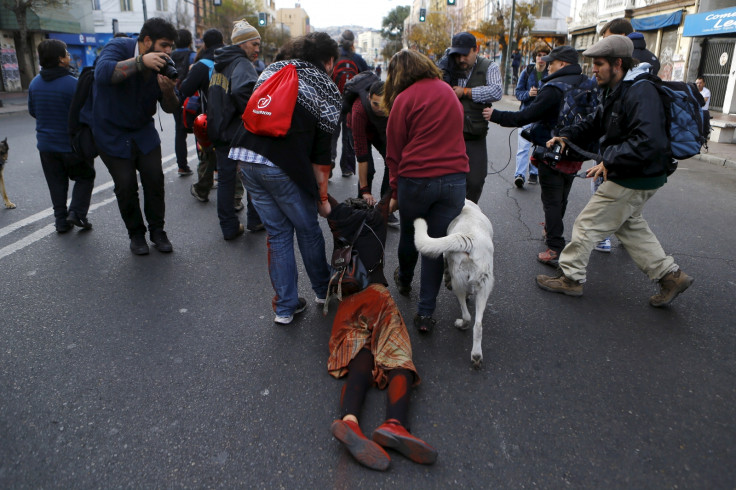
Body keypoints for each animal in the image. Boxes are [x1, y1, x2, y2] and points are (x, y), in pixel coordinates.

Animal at [414, 200, 494, 368]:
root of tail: (469, 238)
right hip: (483, 286)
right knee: (477, 324)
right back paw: (476, 354)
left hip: (461, 282)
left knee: (468, 316)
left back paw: (462, 327)